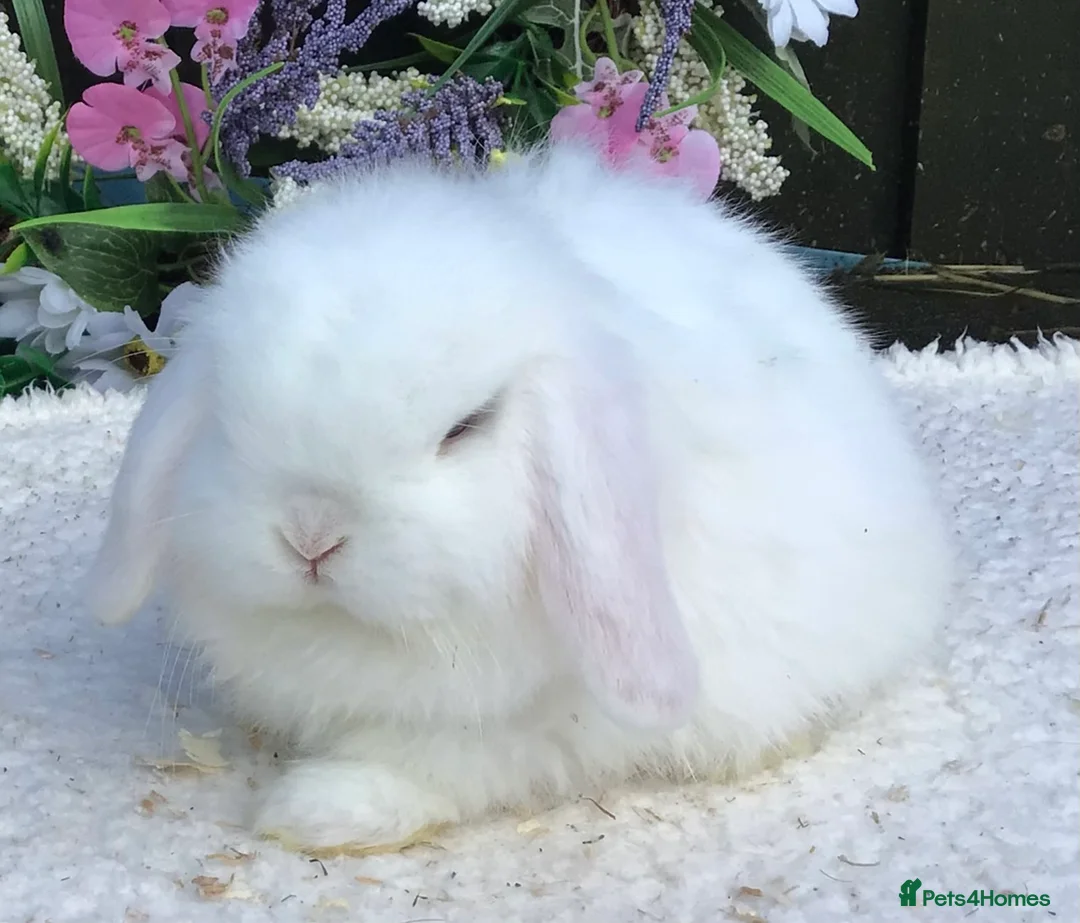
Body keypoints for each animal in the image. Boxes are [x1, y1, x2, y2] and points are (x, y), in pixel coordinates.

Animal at [84, 142, 954, 854]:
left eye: (468, 426)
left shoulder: (535, 728)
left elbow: (438, 760)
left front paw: (316, 812)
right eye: (229, 415)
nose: (311, 535)